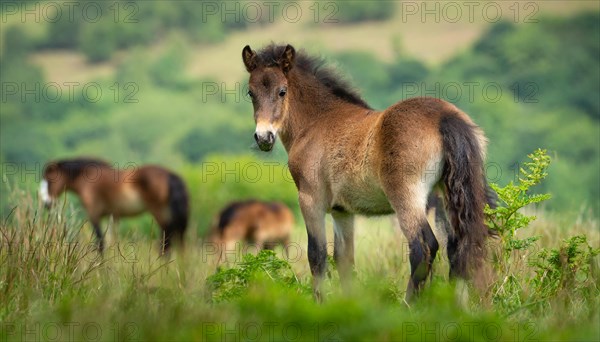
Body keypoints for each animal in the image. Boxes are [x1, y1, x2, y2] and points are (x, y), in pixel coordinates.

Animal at [39, 158, 189, 254]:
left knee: (167, 241)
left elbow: (100, 244)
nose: (47, 204)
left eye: (49, 181)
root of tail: (170, 175)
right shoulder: (114, 216)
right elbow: (111, 241)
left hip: (159, 212)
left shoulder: (94, 214)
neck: (86, 179)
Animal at [241, 43, 494, 302]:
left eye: (282, 91)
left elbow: (317, 256)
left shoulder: (311, 200)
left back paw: (408, 304)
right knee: (458, 248)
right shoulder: (342, 212)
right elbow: (344, 260)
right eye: (251, 93)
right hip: (446, 195)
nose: (263, 137)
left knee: (423, 248)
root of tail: (445, 117)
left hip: (407, 197)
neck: (316, 122)